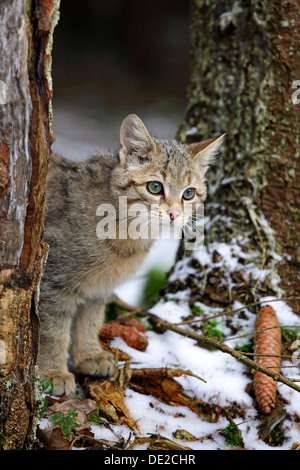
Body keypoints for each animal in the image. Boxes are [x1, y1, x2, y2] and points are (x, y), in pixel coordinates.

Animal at [38, 113, 224, 392]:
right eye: (155, 187)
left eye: (189, 193)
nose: (174, 213)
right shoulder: (52, 281)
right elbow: (52, 331)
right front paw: (53, 373)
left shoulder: (99, 288)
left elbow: (90, 321)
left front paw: (89, 354)